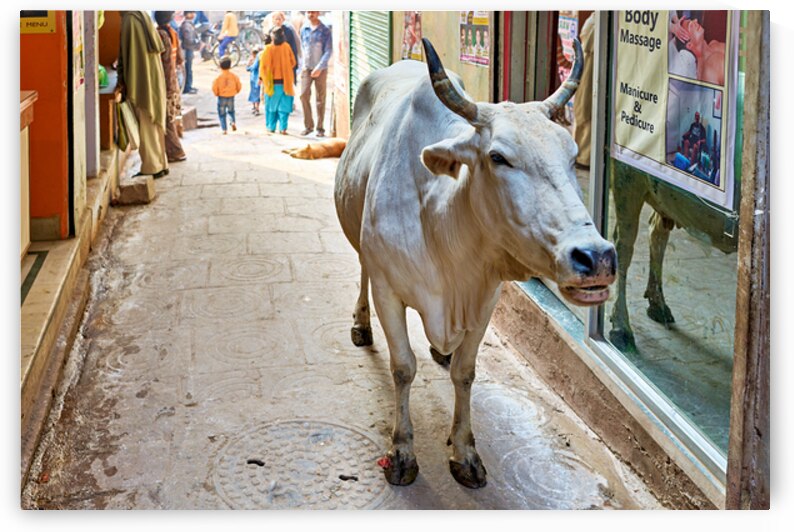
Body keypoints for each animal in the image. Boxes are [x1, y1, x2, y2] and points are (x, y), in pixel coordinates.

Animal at [334, 38, 616, 489]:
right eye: (498, 157)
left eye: (572, 154)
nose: (597, 256)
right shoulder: (388, 290)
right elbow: (403, 368)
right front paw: (402, 451)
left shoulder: (485, 298)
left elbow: (465, 372)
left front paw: (465, 451)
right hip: (362, 244)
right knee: (362, 269)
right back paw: (361, 323)